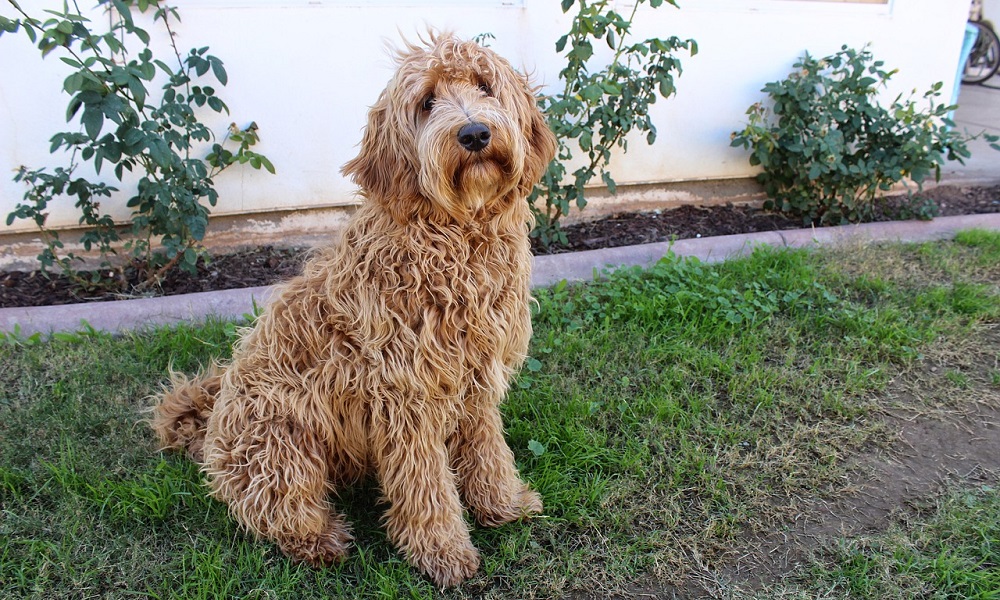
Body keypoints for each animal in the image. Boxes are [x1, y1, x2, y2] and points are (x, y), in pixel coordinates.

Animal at [150, 32, 556, 584]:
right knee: (272, 508)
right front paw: (444, 551)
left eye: (484, 86)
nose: (474, 133)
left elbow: (487, 447)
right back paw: (320, 539)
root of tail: (209, 428)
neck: (452, 236)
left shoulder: (476, 378)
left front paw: (503, 504)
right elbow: (425, 483)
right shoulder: (406, 396)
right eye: (426, 102)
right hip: (281, 444)